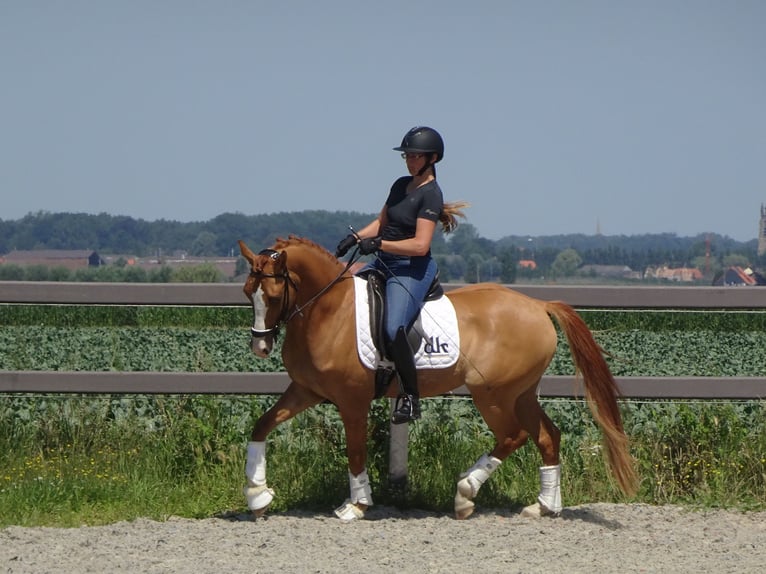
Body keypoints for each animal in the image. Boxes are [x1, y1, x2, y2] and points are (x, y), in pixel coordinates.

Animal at [237, 236, 640, 524]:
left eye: (273, 294)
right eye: (247, 292)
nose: (260, 345)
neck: (327, 311)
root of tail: (538, 306)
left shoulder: (352, 400)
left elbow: (355, 451)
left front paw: (357, 505)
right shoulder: (305, 390)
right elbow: (261, 426)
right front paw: (257, 496)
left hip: (492, 394)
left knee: (514, 435)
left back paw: (465, 494)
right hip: (521, 393)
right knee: (547, 436)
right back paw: (543, 506)